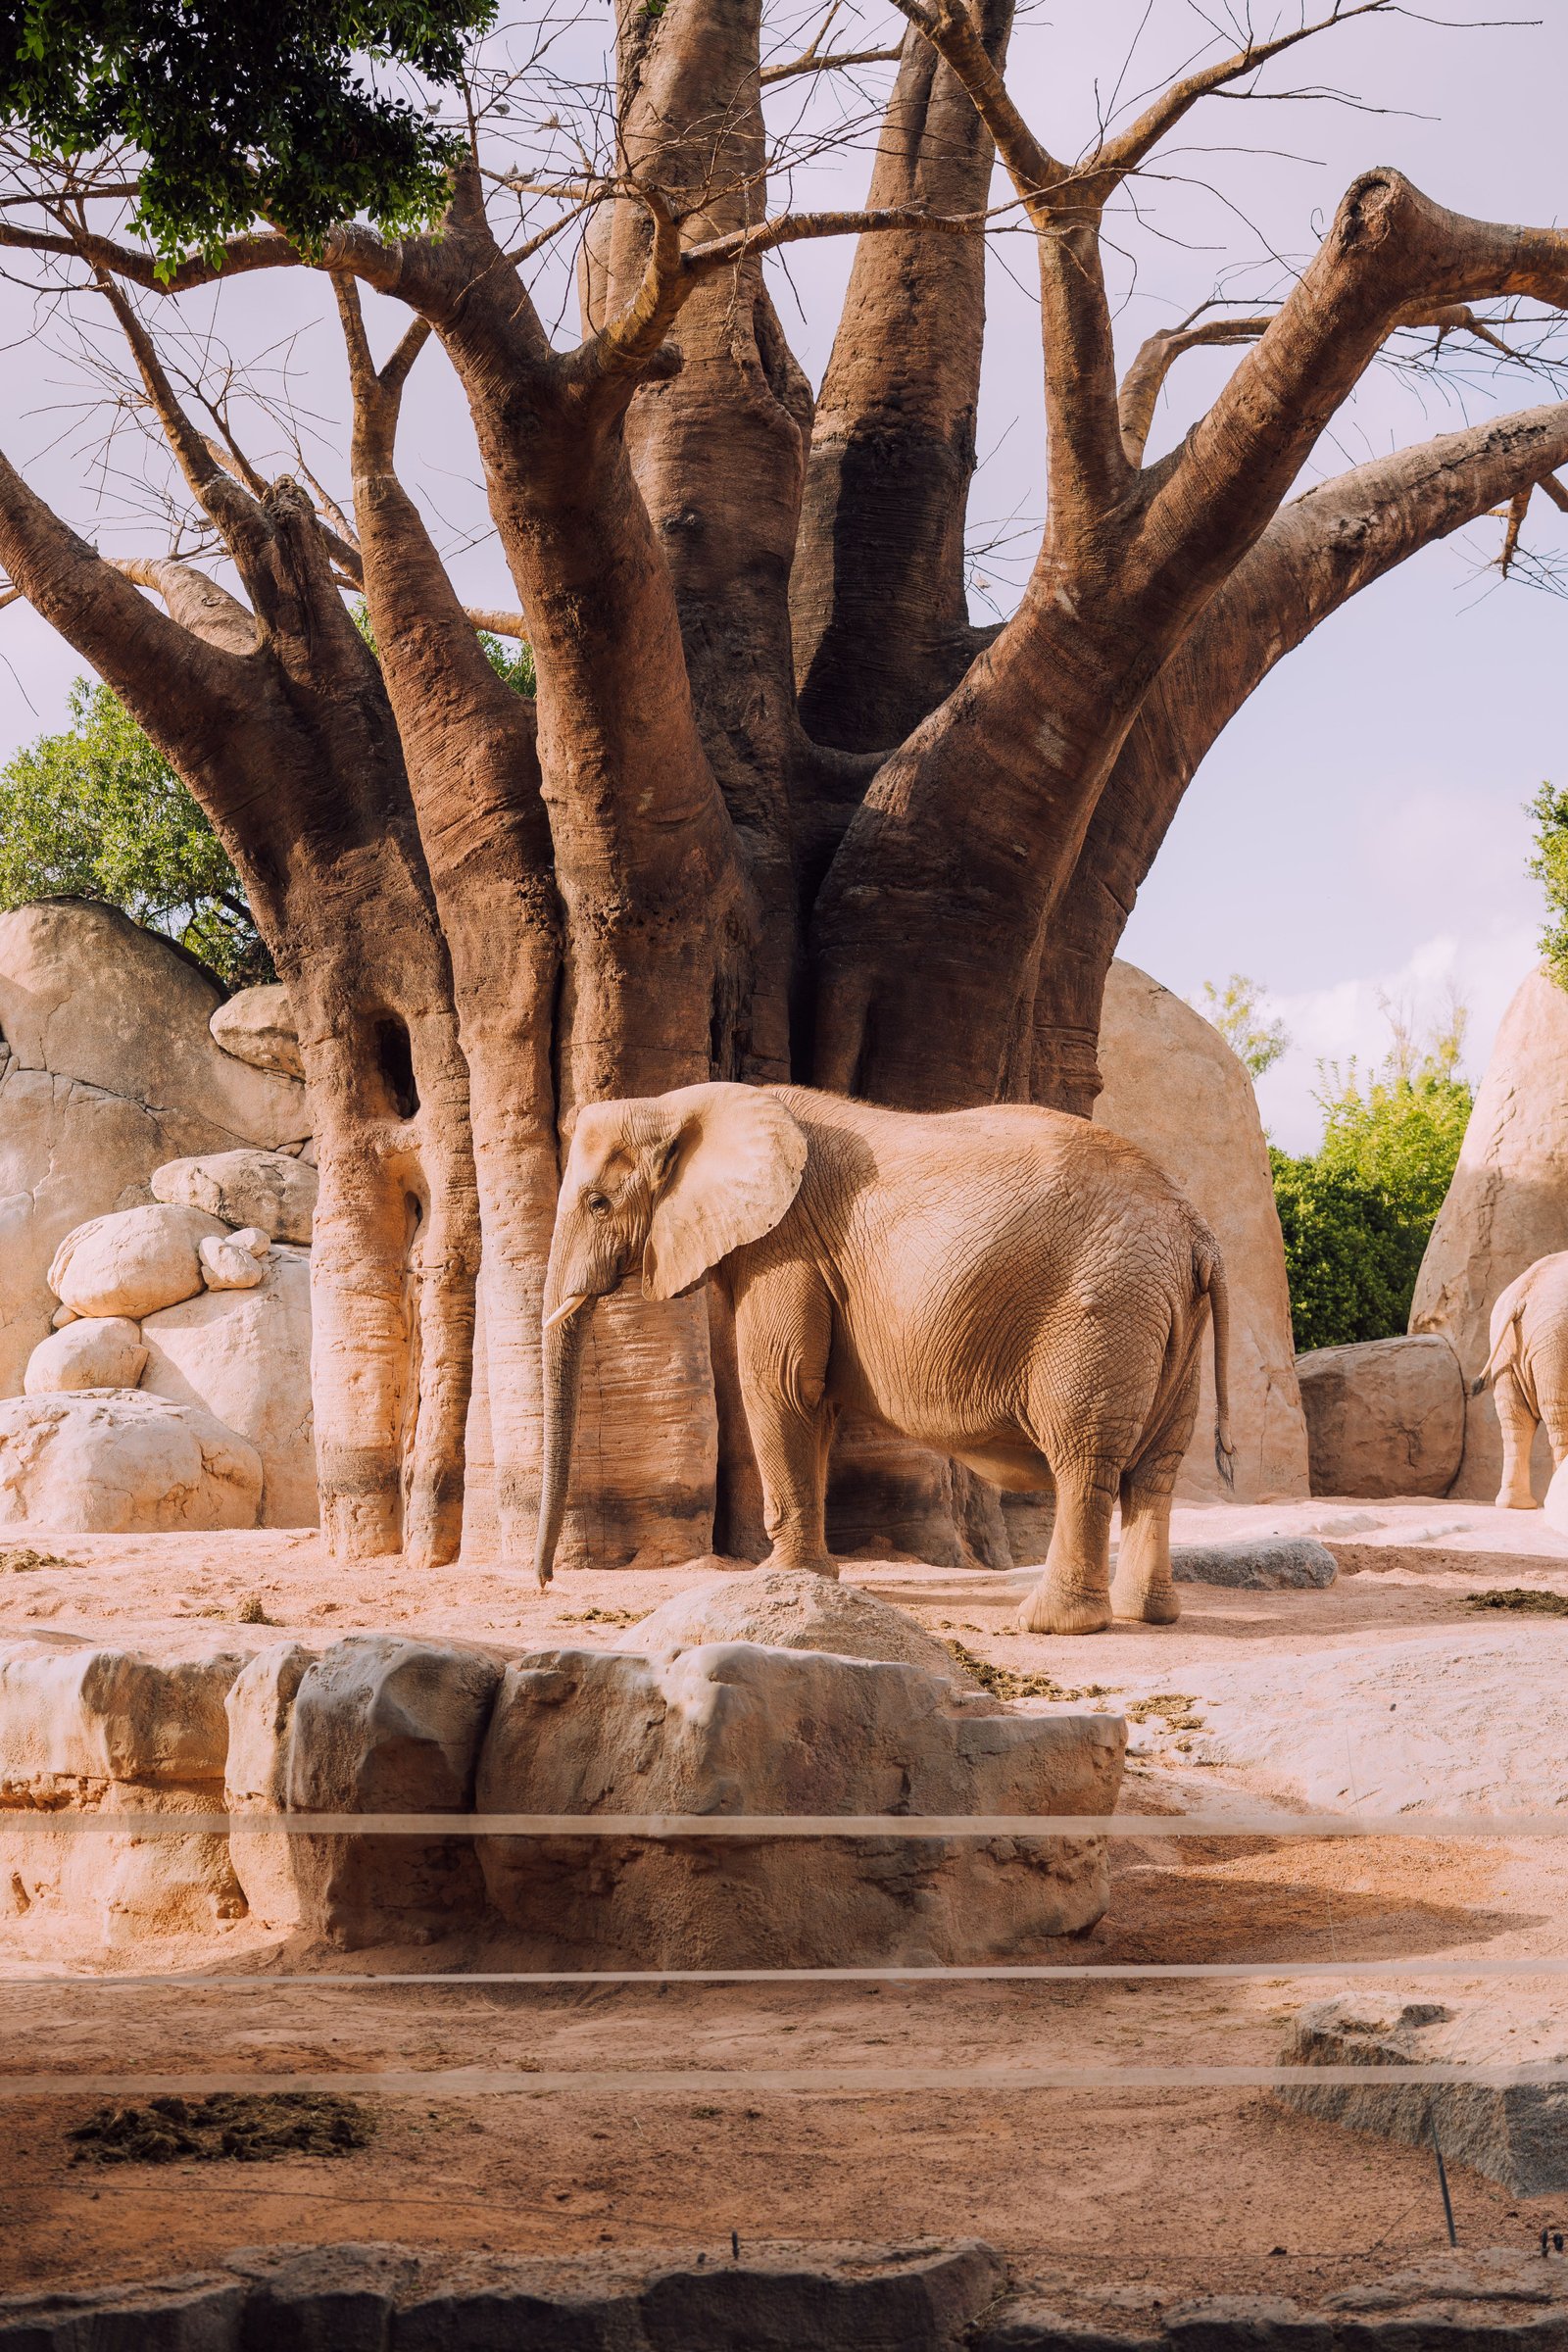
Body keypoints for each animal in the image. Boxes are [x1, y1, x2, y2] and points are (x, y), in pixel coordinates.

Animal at [533, 1082, 1233, 1635]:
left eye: (597, 1203)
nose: (545, 1584)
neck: (680, 1102)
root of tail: (1197, 1231)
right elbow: (812, 1401)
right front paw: (815, 1579)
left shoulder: (786, 1245)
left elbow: (780, 1384)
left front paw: (777, 1577)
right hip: (1168, 1313)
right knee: (1157, 1467)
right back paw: (1149, 1615)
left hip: (1104, 1308)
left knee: (1084, 1456)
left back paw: (1050, 1624)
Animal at [1471, 1250, 1568, 1508]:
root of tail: (1521, 1297)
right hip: (1553, 1344)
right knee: (1557, 1416)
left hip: (1507, 1348)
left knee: (1515, 1422)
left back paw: (1516, 1505)